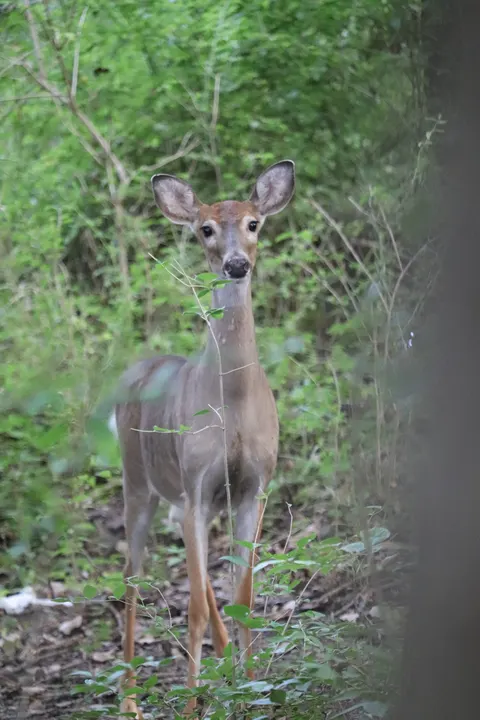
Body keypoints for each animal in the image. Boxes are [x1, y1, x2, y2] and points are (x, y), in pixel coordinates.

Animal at [110, 160, 295, 717]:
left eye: (254, 222)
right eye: (205, 229)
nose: (236, 264)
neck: (231, 405)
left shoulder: (254, 487)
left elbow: (245, 598)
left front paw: (253, 693)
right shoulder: (197, 484)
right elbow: (191, 608)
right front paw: (193, 705)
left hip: (194, 500)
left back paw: (225, 662)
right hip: (138, 482)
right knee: (131, 582)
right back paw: (131, 701)